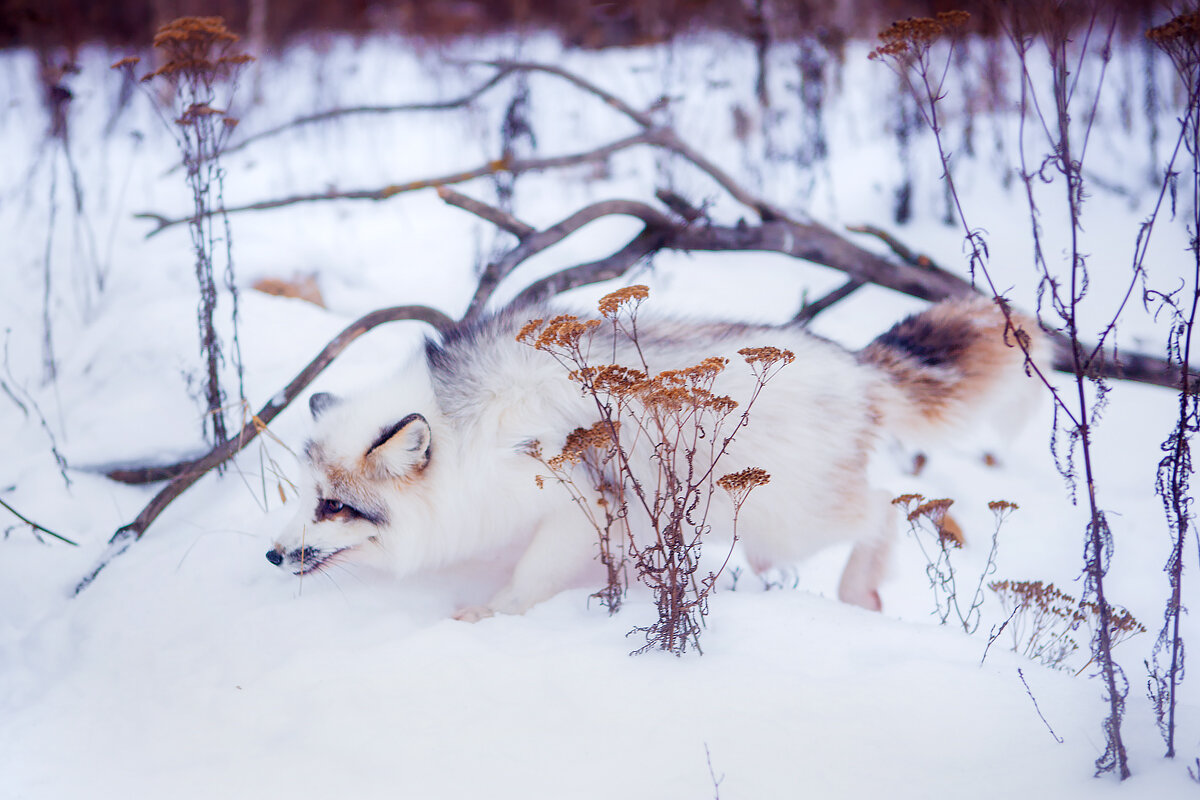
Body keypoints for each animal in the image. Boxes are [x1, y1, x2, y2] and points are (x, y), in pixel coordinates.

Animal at [267, 297, 1046, 618]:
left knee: (884, 510)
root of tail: (857, 366)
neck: (466, 435)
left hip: (798, 519)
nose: (273, 556)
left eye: (334, 505)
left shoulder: (580, 510)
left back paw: (861, 594)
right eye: (303, 496)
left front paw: (490, 614)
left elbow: (528, 579)